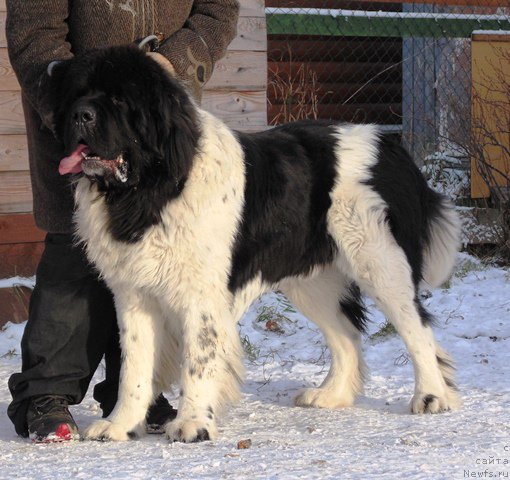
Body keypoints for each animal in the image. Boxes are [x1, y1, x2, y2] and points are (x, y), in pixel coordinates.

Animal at [50, 46, 458, 442]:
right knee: (346, 335)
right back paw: (332, 395)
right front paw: (120, 425)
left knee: (417, 327)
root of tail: (392, 147)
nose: (81, 115)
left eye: (119, 100)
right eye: (78, 94)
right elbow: (134, 364)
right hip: (313, 281)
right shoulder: (134, 294)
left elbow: (198, 359)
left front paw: (192, 424)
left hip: (381, 263)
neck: (153, 187)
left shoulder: (201, 296)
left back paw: (431, 396)